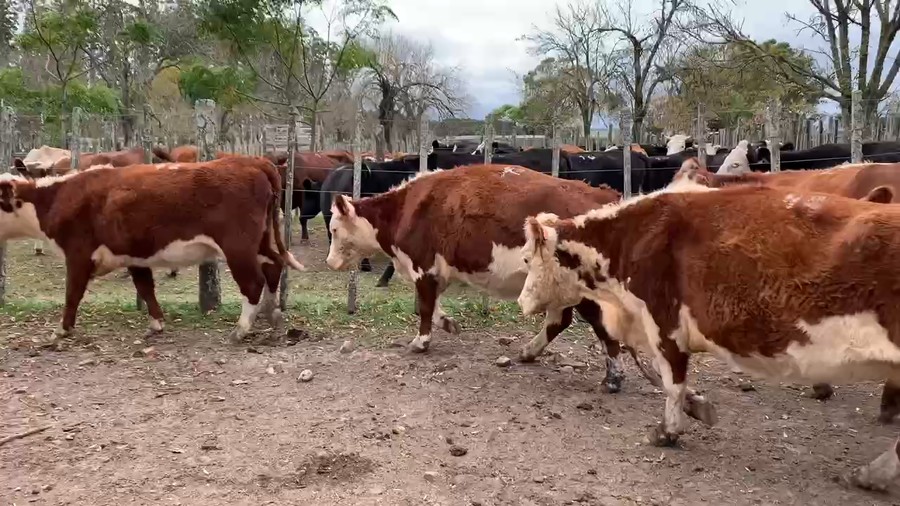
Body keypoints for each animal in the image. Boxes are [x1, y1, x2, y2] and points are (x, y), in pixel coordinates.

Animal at [0, 156, 305, 343]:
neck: (56, 199)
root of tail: (251, 160)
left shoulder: (78, 255)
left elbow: (72, 294)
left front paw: (62, 329)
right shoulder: (134, 256)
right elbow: (145, 287)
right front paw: (157, 323)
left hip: (238, 247)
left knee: (253, 282)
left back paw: (240, 330)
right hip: (260, 242)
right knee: (273, 266)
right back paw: (273, 315)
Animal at [518, 180, 900, 491]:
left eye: (525, 258)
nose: (521, 301)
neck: (633, 235)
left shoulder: (663, 319)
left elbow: (672, 378)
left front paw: (668, 430)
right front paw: (697, 407)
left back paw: (872, 473)